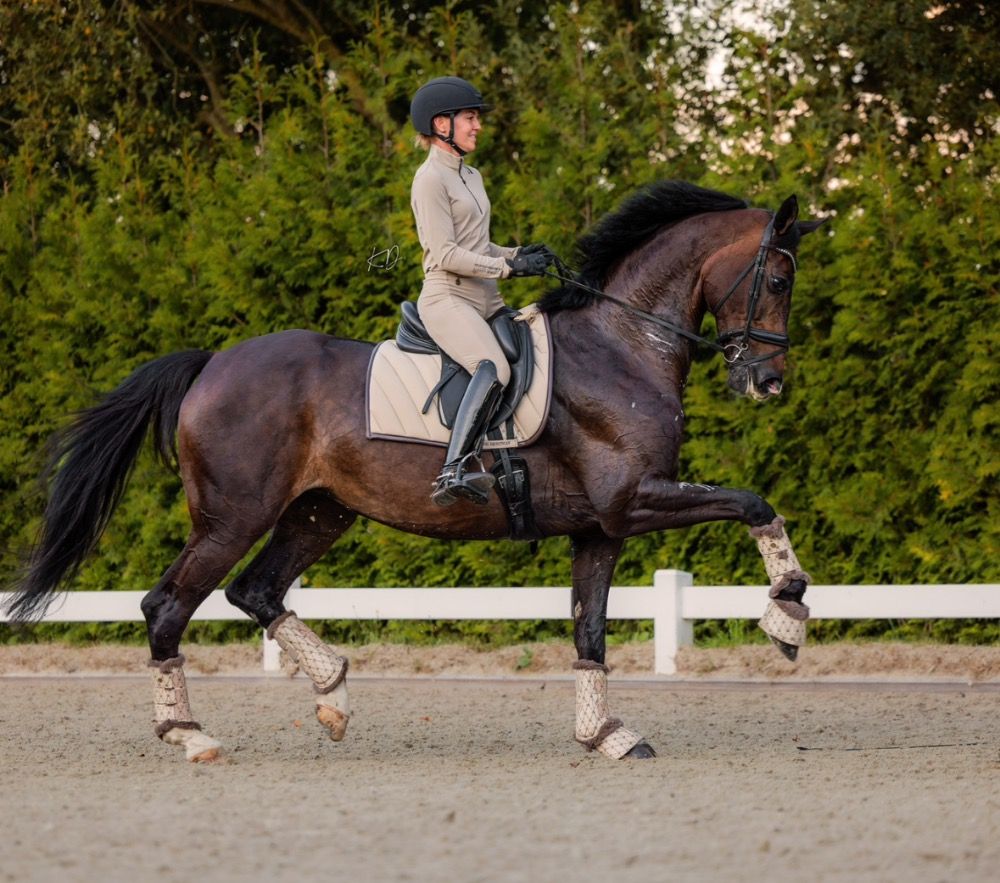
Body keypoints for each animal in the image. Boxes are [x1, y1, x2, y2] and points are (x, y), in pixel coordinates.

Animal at [5, 181, 822, 762]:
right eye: (779, 280)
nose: (768, 383)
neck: (623, 343)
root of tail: (211, 364)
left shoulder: (601, 526)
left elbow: (589, 629)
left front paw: (607, 734)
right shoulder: (634, 500)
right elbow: (755, 502)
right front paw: (785, 616)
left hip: (319, 511)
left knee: (256, 590)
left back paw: (333, 692)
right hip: (233, 516)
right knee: (168, 606)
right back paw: (192, 734)